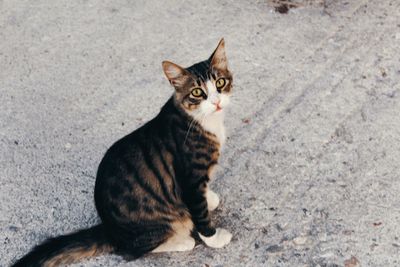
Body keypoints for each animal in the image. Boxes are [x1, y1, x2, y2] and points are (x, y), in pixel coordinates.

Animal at [12, 38, 233, 267]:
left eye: (220, 83)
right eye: (197, 92)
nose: (216, 102)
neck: (203, 121)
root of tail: (110, 230)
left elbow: (204, 195)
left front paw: (210, 198)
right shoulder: (190, 181)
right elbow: (200, 214)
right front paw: (214, 238)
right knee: (132, 251)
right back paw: (182, 241)